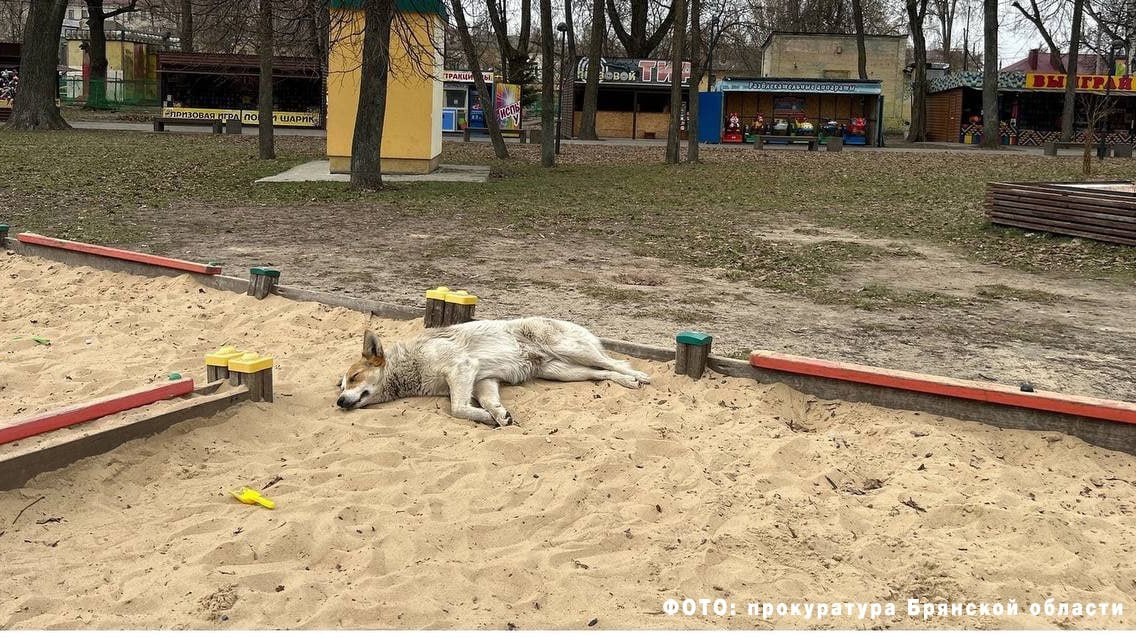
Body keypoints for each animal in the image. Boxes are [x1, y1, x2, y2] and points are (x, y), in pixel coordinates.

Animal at [333, 315, 649, 424]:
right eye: (342, 385)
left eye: (355, 377)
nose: (339, 401)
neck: (410, 365)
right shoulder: (484, 380)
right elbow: (488, 402)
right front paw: (497, 415)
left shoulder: (462, 367)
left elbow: (458, 408)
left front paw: (485, 417)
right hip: (561, 371)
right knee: (601, 373)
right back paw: (627, 382)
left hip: (570, 350)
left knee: (614, 362)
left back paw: (639, 376)